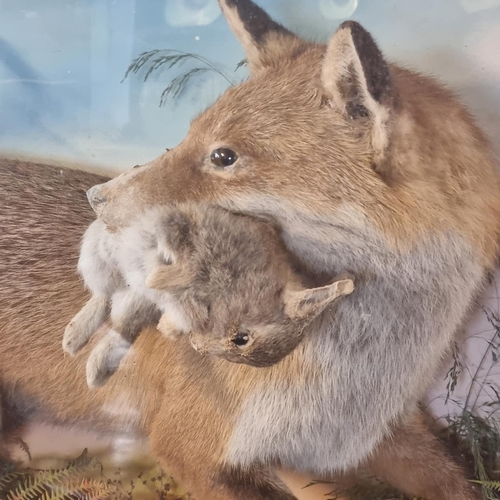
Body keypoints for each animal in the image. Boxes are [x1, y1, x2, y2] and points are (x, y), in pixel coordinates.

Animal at [62, 203, 352, 386]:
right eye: (241, 338)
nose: (197, 347)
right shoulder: (185, 230)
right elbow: (177, 255)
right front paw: (159, 276)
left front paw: (167, 326)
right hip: (98, 258)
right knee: (103, 298)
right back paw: (73, 340)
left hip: (126, 296)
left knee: (121, 325)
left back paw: (92, 369)